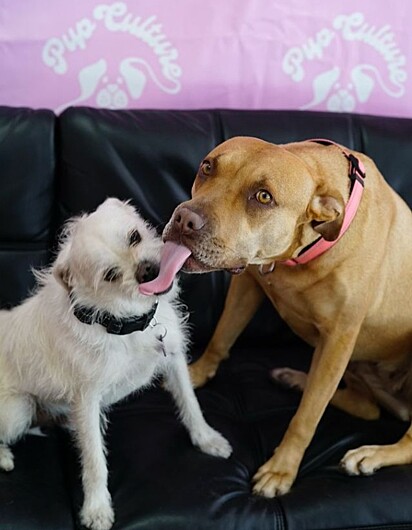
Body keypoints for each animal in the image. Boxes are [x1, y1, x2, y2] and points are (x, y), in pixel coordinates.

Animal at [0, 198, 232, 528]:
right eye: (110, 274)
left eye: (134, 237)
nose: (148, 270)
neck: (127, 322)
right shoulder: (87, 399)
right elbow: (95, 460)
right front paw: (97, 509)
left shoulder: (174, 359)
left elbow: (190, 403)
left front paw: (207, 439)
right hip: (18, 410)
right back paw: (4, 456)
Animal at [162, 135, 412, 496]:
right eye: (207, 167)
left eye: (263, 197)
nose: (184, 219)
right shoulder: (247, 285)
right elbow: (223, 335)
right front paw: (195, 373)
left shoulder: (338, 340)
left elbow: (306, 418)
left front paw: (281, 470)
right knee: (364, 407)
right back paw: (295, 379)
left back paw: (370, 455)